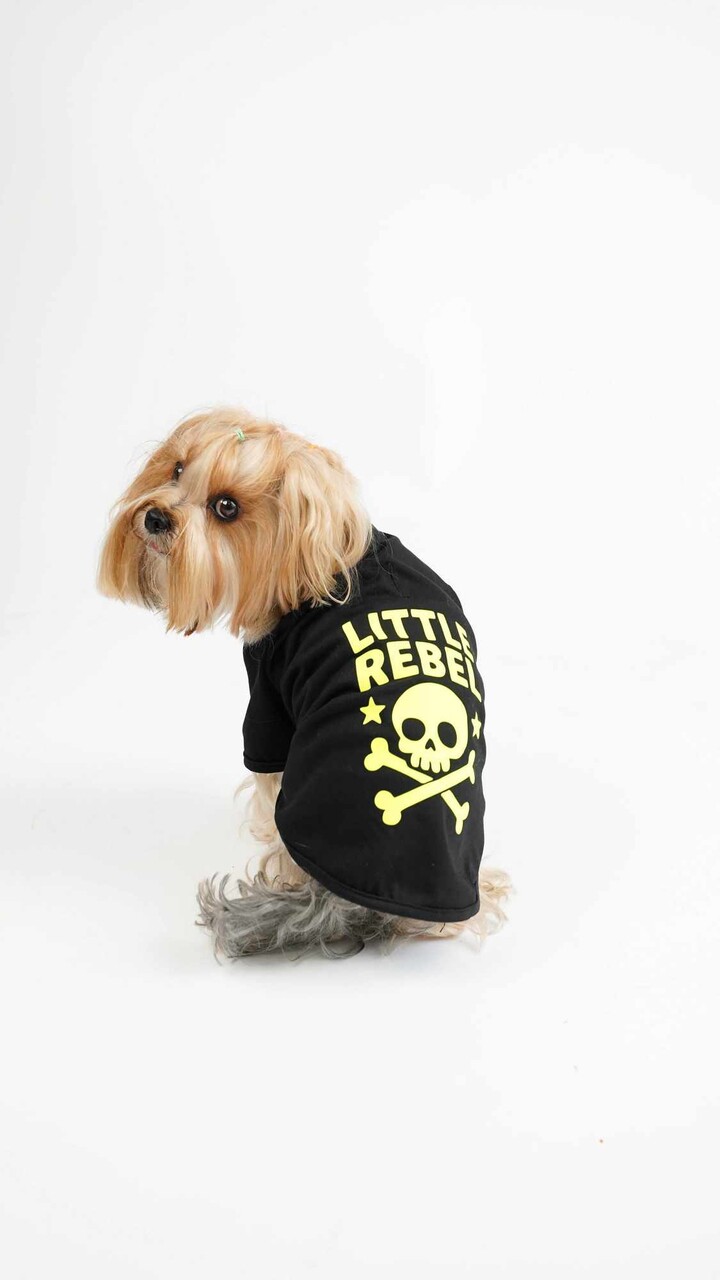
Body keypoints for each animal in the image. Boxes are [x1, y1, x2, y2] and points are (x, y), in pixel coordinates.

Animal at [99, 408, 510, 957]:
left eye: (226, 507)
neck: (335, 555)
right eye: (177, 469)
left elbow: (263, 765)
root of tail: (341, 904)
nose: (155, 518)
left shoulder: (266, 700)